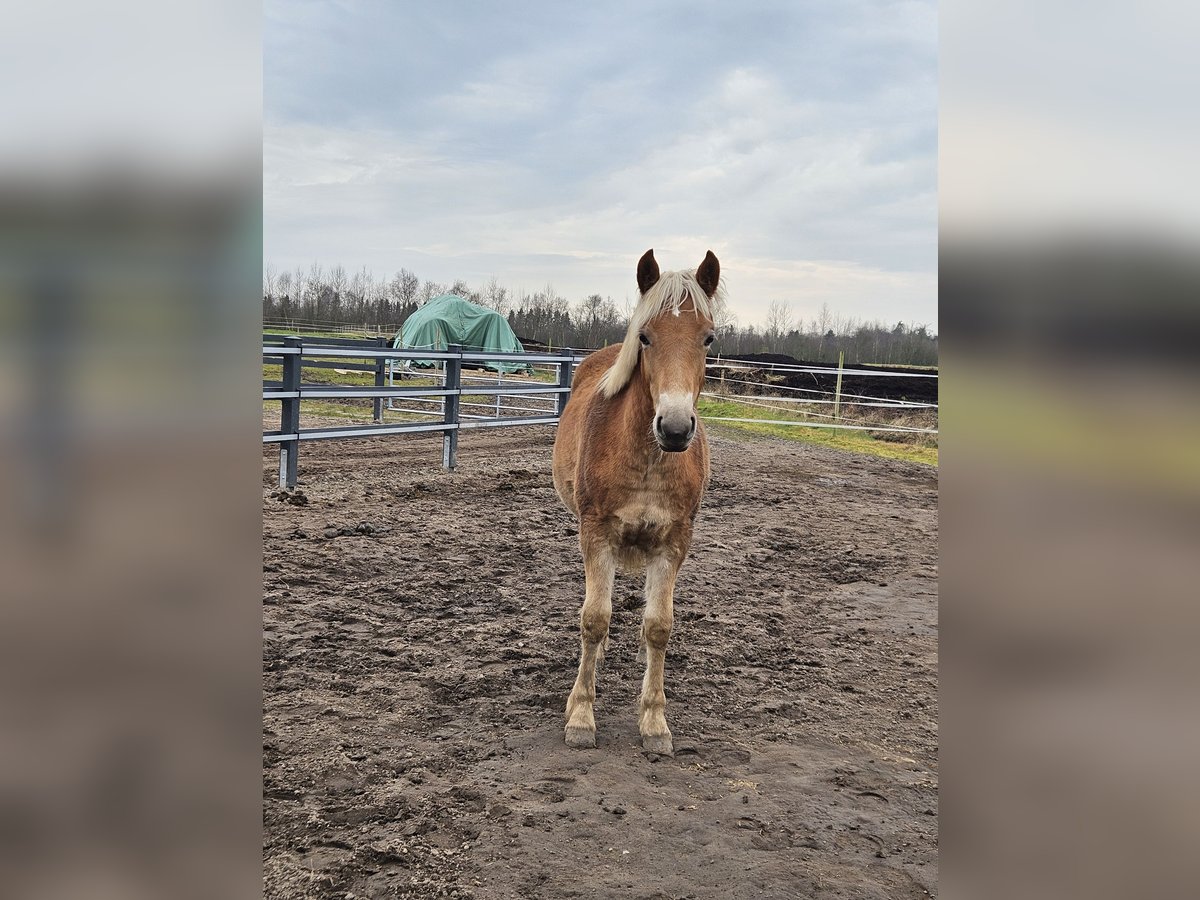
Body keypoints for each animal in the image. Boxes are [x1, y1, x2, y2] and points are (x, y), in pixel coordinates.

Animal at [549, 250, 720, 758]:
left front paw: (655, 723)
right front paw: (581, 715)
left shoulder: (674, 543)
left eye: (708, 338)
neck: (646, 460)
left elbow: (659, 625)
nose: (676, 428)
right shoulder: (596, 534)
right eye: (645, 336)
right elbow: (595, 618)